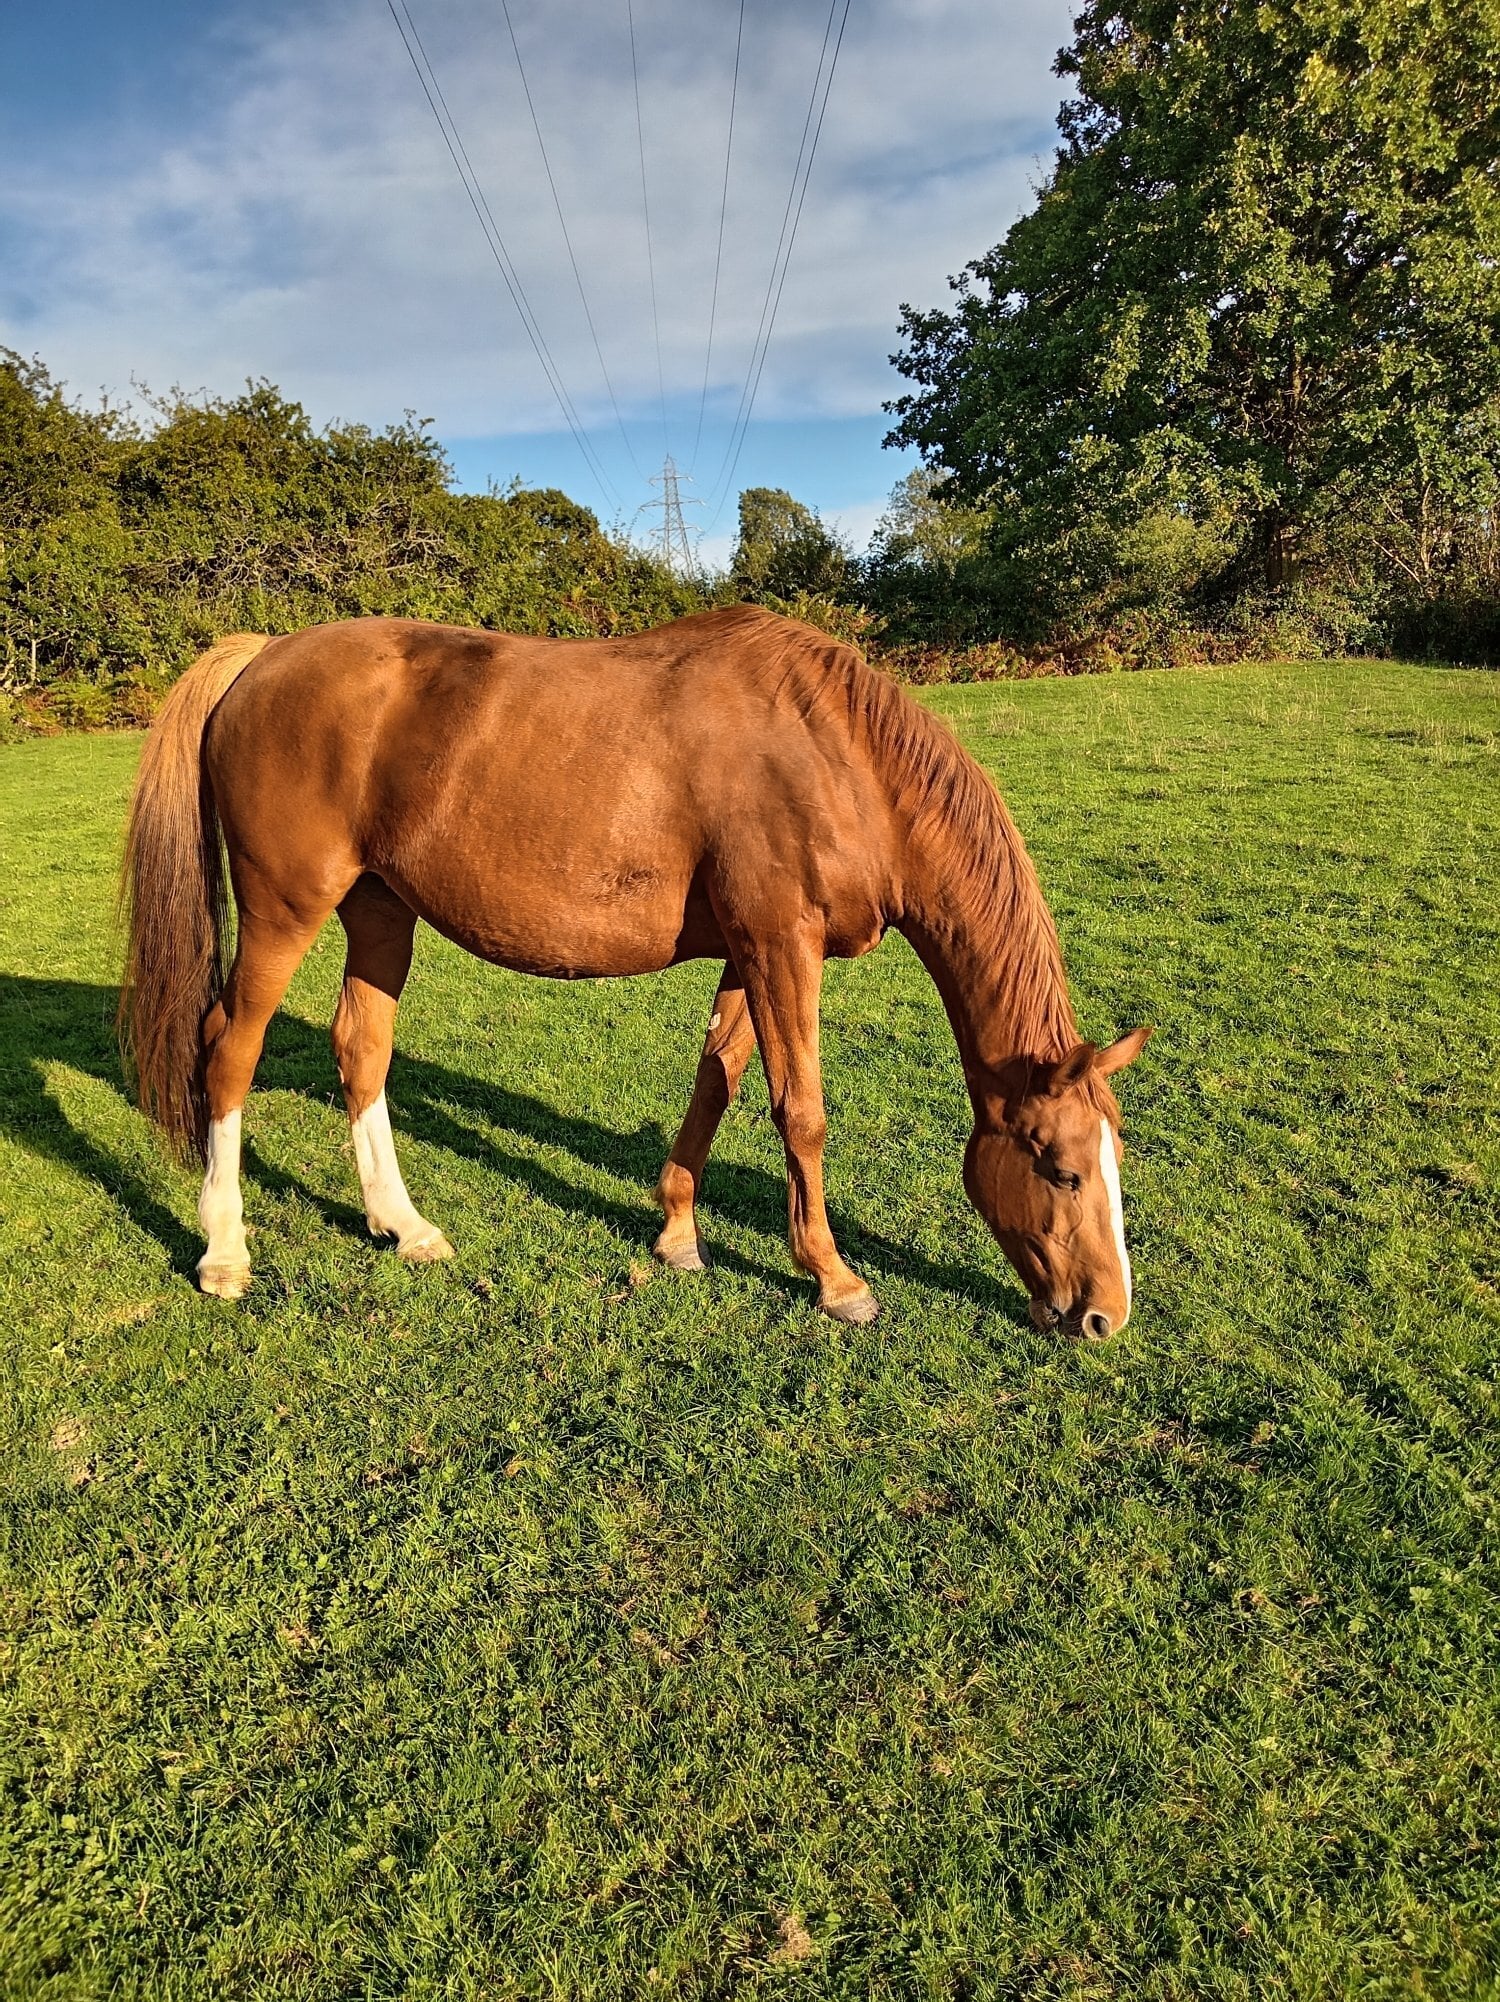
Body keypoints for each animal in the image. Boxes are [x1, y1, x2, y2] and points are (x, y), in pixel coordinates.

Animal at [119, 606, 1151, 1331]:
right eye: (1062, 1171)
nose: (1106, 1316)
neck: (837, 754)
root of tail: (263, 655)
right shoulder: (783, 946)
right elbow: (801, 1113)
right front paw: (833, 1276)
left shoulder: (749, 952)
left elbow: (717, 1082)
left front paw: (677, 1233)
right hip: (284, 911)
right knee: (228, 1050)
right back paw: (224, 1251)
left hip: (379, 912)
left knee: (359, 1051)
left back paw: (403, 1226)